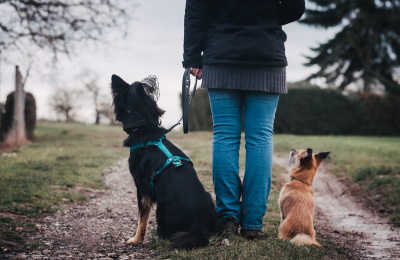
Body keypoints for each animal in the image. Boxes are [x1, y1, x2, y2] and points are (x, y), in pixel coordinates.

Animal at [110, 74, 216, 249]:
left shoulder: (142, 188)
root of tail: (197, 225)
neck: (143, 128)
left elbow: (142, 218)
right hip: (209, 198)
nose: (153, 77)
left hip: (161, 209)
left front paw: (136, 239)